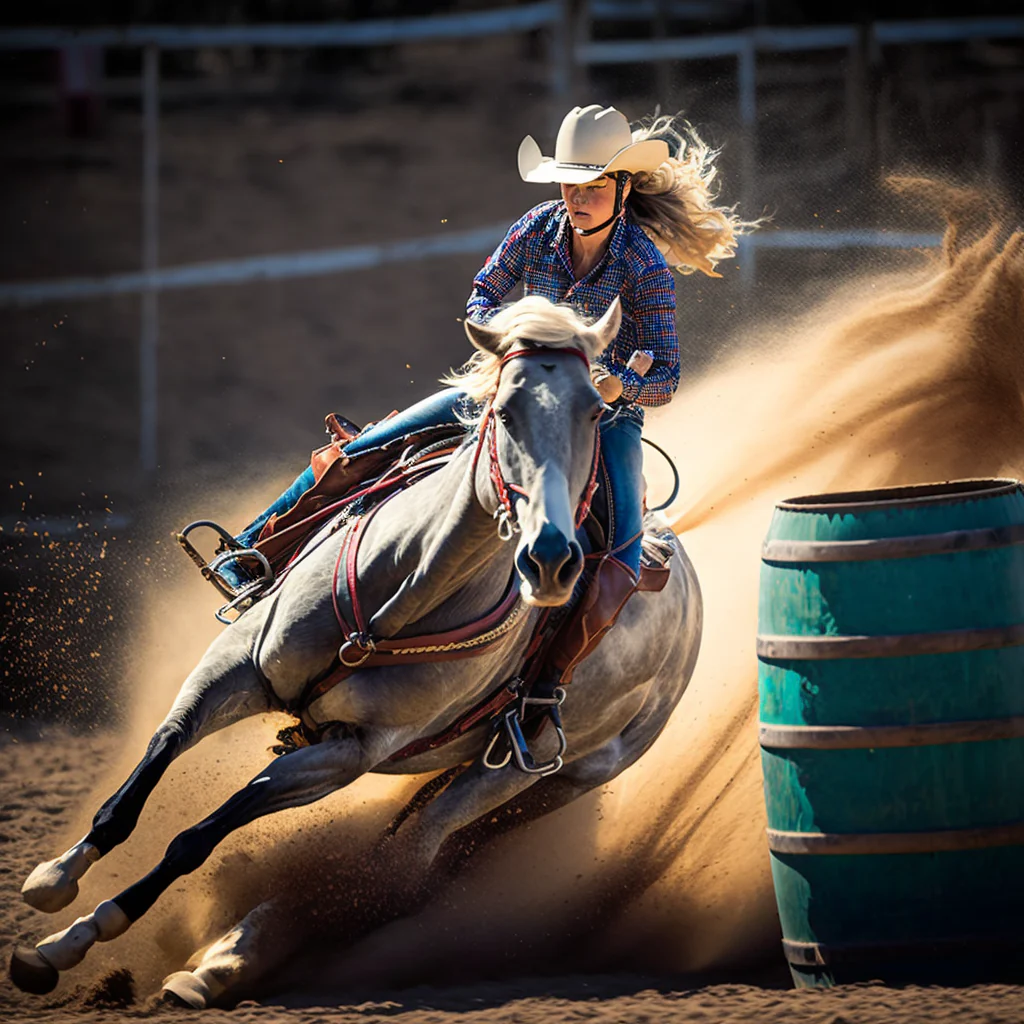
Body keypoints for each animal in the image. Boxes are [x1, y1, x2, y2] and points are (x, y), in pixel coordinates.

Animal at [12, 294, 700, 999]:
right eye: (505, 409)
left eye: (593, 410)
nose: (552, 559)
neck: (401, 592)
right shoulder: (230, 672)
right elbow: (141, 779)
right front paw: (52, 891)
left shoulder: (348, 752)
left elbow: (199, 837)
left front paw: (89, 931)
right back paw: (214, 960)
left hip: (534, 784)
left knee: (400, 868)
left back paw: (219, 966)